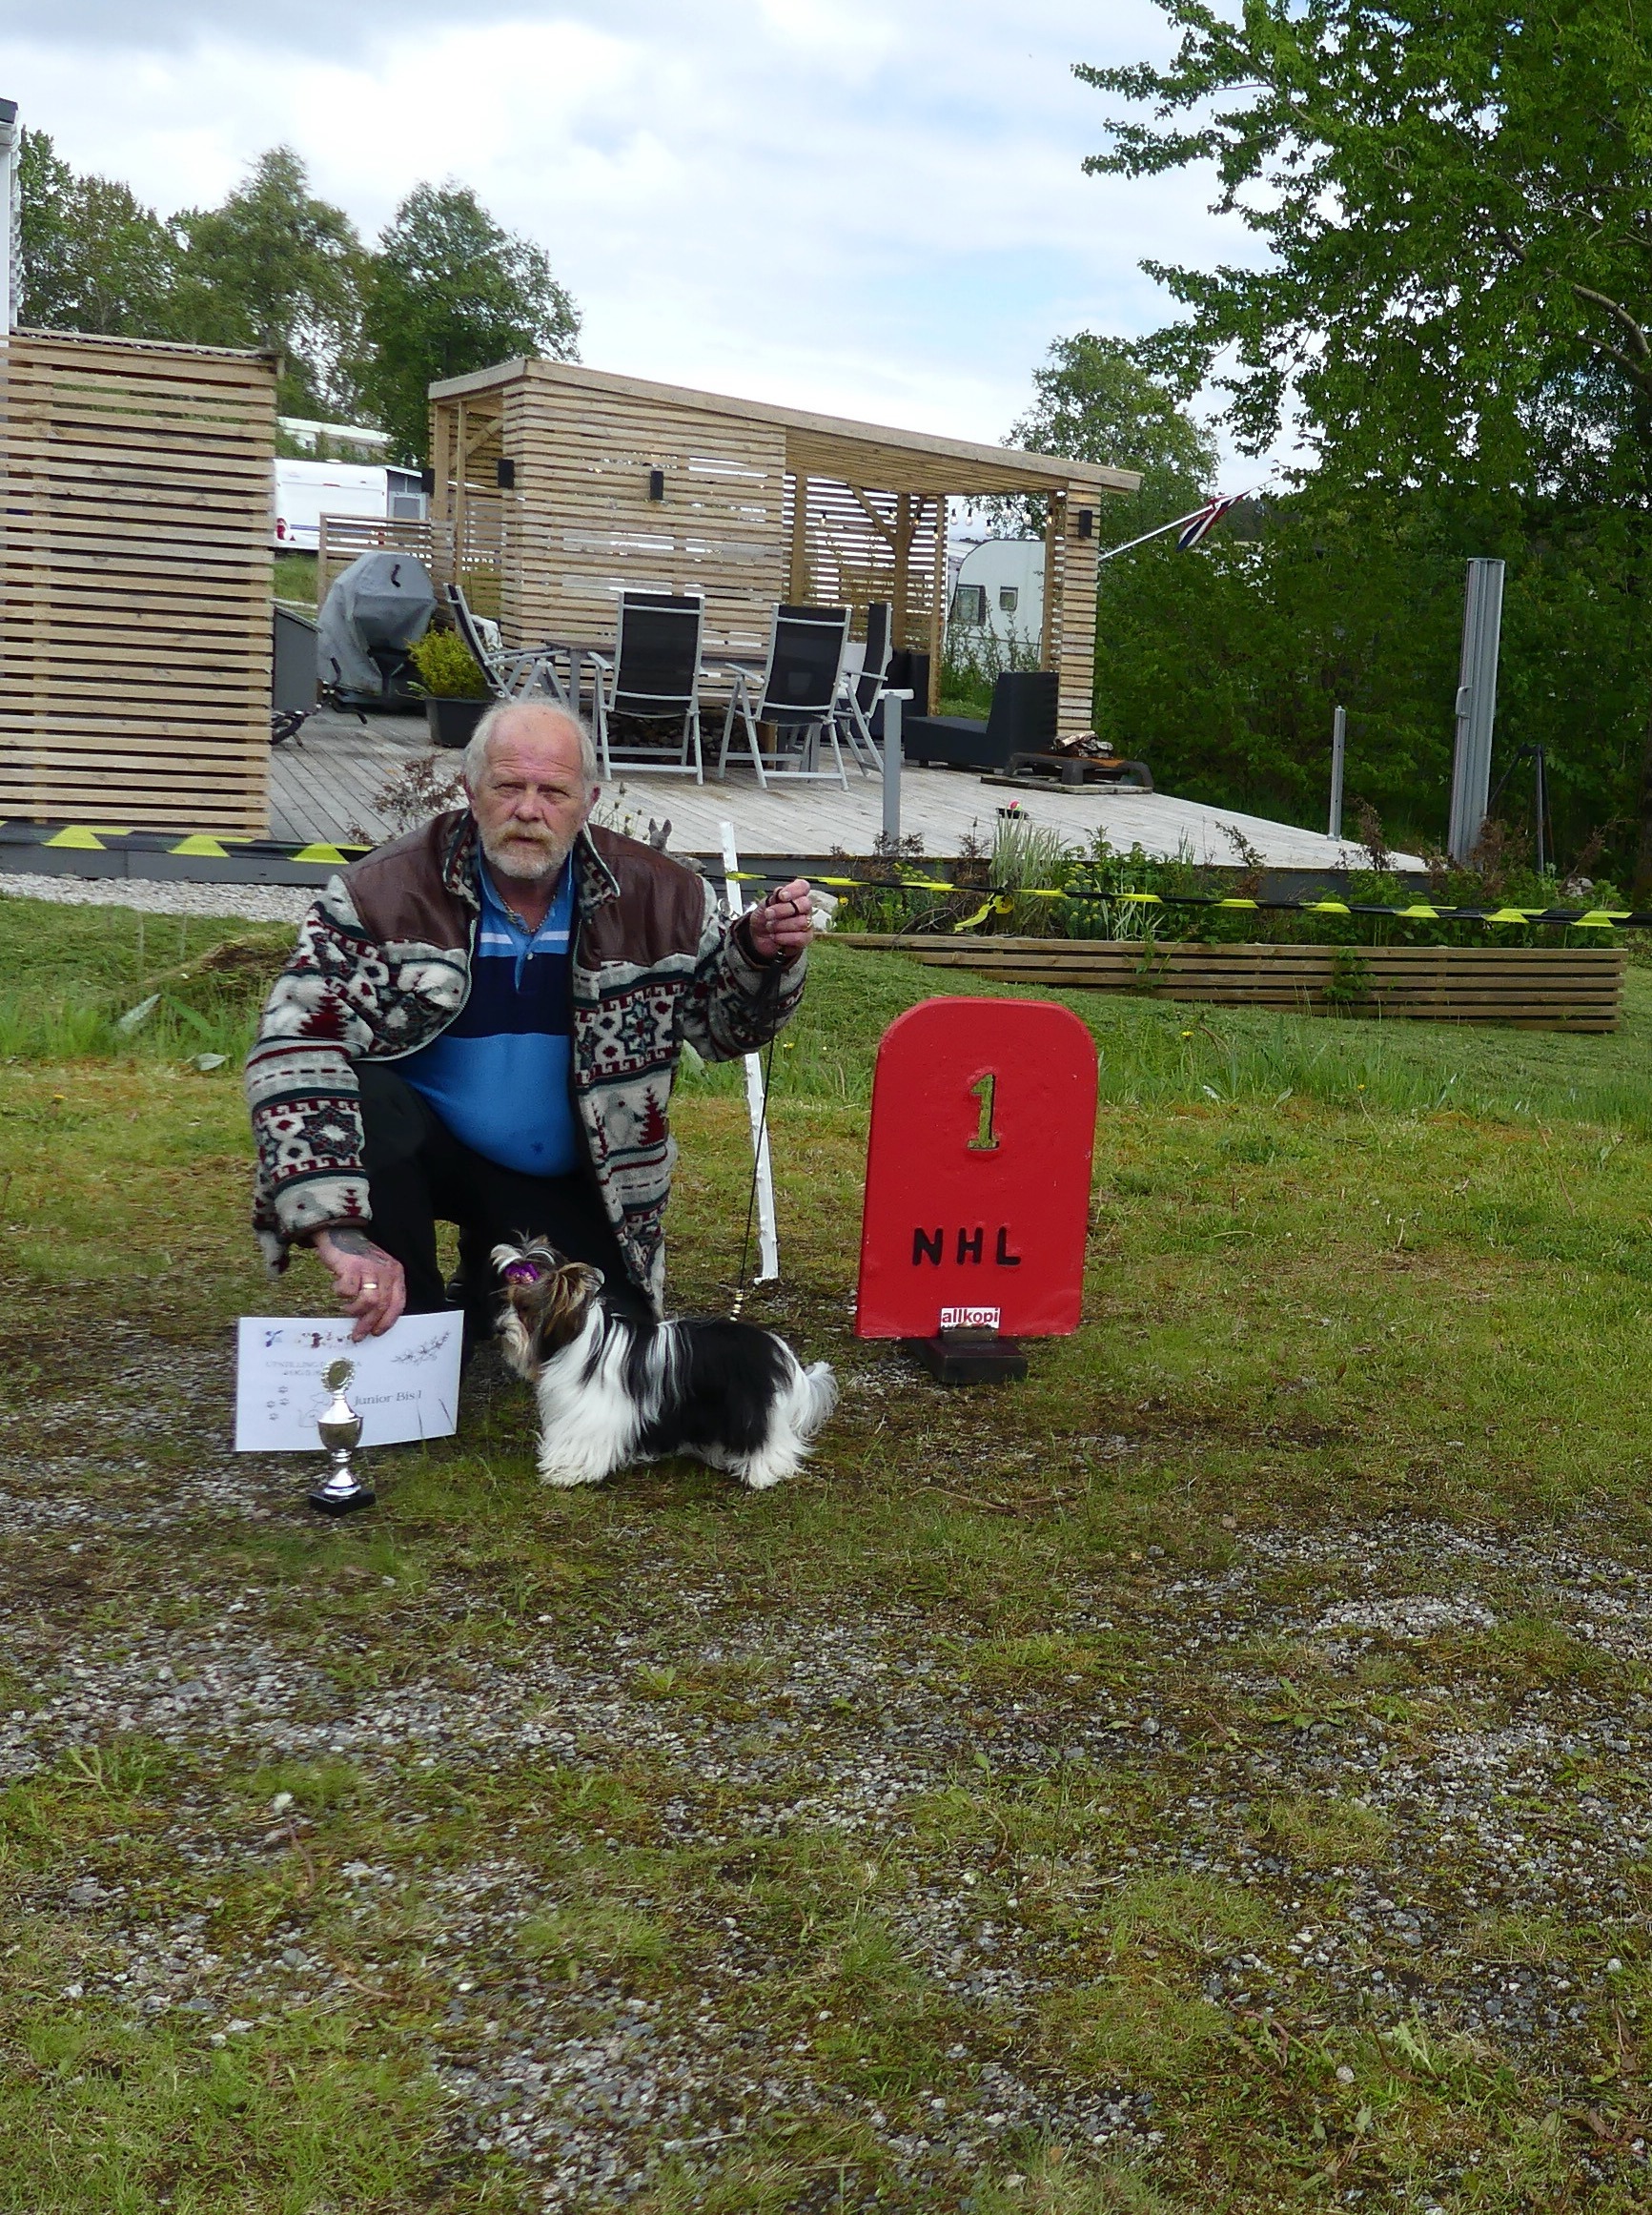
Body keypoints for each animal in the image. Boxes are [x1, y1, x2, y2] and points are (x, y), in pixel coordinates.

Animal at [492, 1238, 838, 1491]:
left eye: (524, 1308)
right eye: (507, 1301)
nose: (498, 1328)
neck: (578, 1338)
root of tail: (777, 1349)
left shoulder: (588, 1414)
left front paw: (565, 1472)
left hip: (749, 1409)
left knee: (766, 1440)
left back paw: (764, 1473)